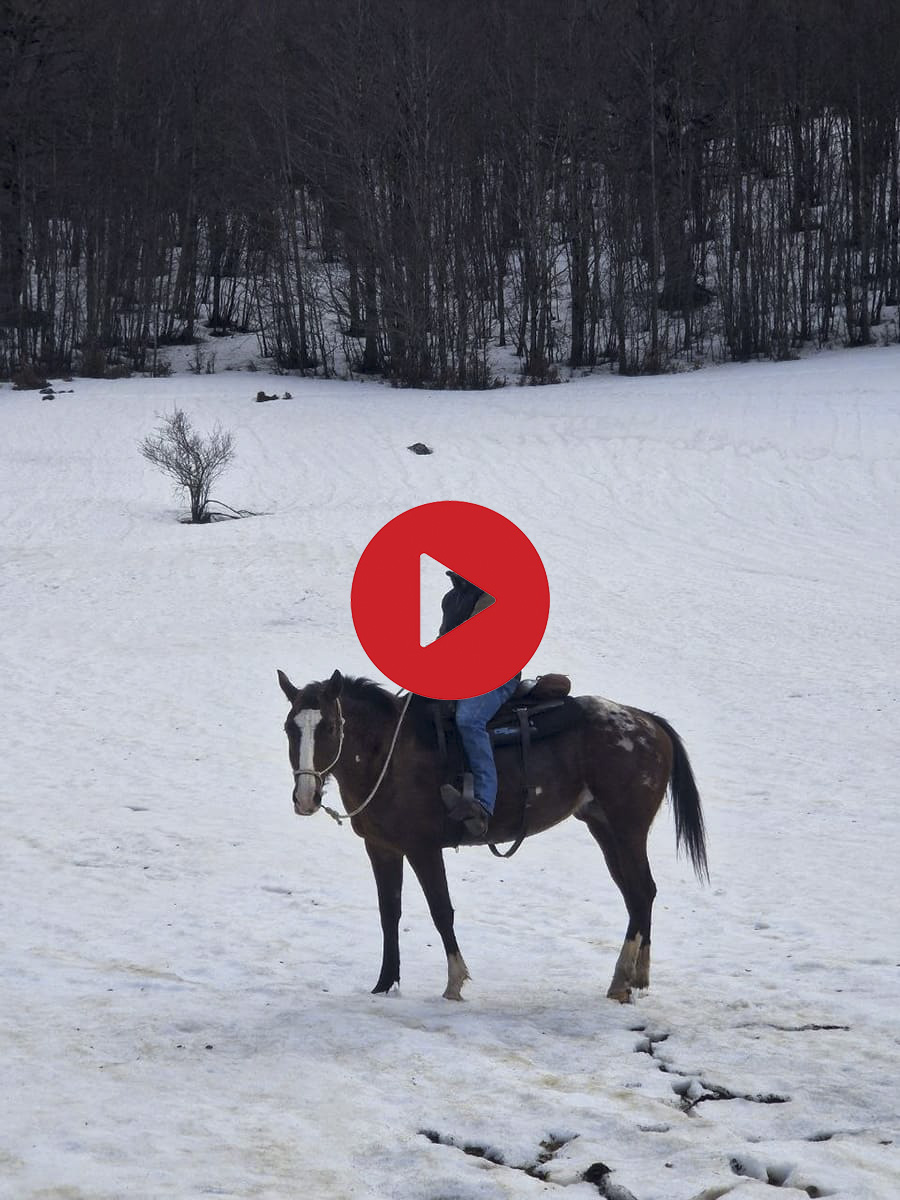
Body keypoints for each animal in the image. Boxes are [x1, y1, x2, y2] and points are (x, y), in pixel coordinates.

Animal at [277, 669, 708, 1003]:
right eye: (289, 728)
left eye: (330, 727)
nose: (305, 798)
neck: (388, 754)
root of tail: (647, 721)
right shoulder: (381, 848)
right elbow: (389, 912)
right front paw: (384, 985)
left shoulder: (422, 848)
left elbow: (441, 910)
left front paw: (454, 982)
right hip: (604, 826)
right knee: (638, 894)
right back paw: (636, 977)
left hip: (627, 827)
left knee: (640, 891)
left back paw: (621, 980)